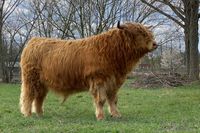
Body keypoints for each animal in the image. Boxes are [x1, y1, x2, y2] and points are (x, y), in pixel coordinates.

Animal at [19, 21, 157, 119]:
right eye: (140, 33)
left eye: (148, 33)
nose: (155, 44)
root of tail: (34, 41)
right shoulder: (98, 80)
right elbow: (101, 100)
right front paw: (100, 116)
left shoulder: (113, 82)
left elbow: (113, 99)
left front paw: (116, 114)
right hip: (31, 79)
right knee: (28, 96)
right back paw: (27, 114)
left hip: (42, 83)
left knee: (39, 98)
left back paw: (40, 114)